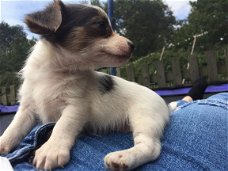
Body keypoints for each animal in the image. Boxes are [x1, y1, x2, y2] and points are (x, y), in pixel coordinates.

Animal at [0, 0, 169, 170]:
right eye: (101, 25)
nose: (133, 45)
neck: (55, 73)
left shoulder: (76, 106)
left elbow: (62, 125)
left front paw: (51, 149)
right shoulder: (27, 108)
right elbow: (14, 128)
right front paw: (3, 143)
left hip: (144, 117)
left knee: (151, 147)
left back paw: (123, 158)